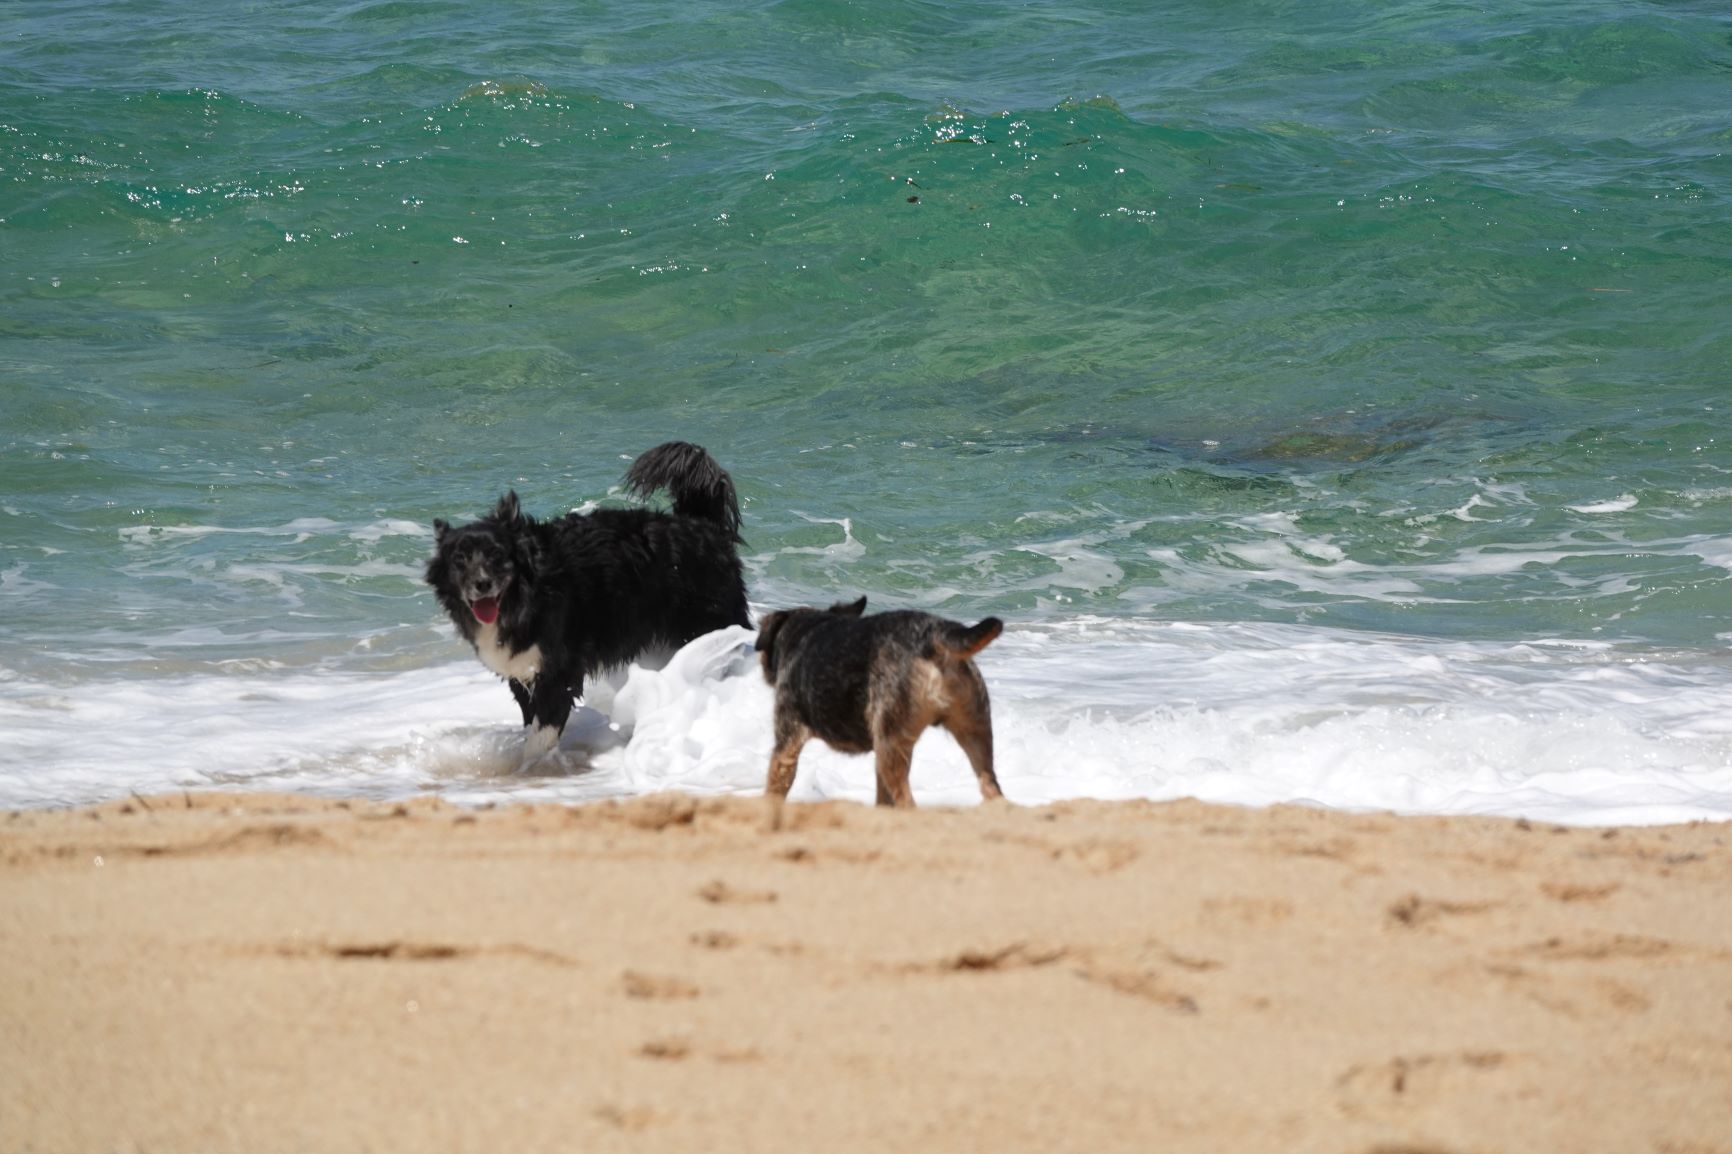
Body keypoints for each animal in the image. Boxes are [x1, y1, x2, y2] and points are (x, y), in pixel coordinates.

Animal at [426, 438, 751, 755]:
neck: (527, 593)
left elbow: (539, 738)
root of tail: (701, 523)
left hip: (706, 624)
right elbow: (531, 722)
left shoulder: (558, 674)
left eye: (496, 554)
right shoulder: (522, 673)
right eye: (459, 559)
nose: (482, 584)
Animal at [755, 596, 1011, 803]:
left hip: (891, 743)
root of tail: (935, 633)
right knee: (993, 791)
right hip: (975, 733)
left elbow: (773, 791)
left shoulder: (786, 745)